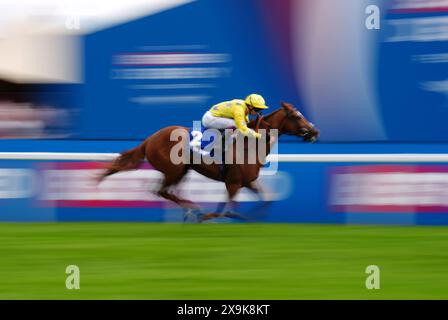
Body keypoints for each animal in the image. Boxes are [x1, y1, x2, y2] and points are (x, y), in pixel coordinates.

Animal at [97, 101, 318, 221]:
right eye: (297, 116)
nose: (315, 131)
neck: (249, 145)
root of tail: (150, 139)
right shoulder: (233, 183)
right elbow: (226, 211)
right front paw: (207, 217)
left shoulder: (247, 182)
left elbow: (267, 200)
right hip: (173, 170)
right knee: (161, 191)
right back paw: (193, 209)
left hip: (182, 170)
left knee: (168, 191)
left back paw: (190, 209)